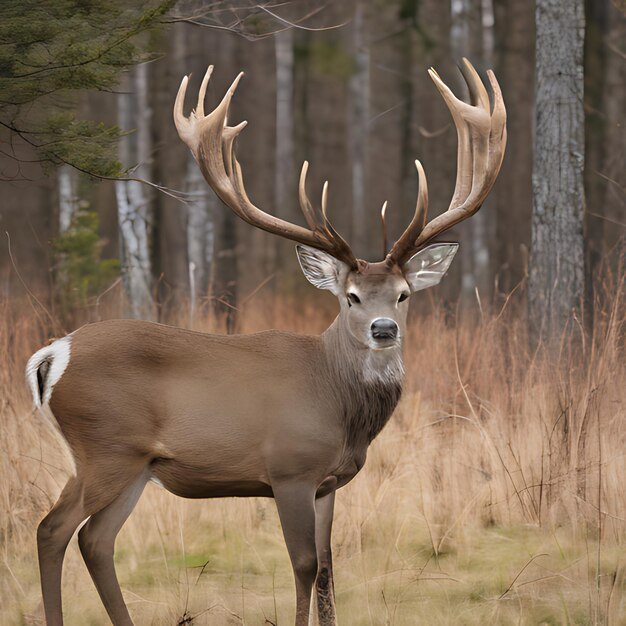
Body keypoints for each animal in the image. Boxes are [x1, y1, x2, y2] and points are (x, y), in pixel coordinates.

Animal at [26, 58, 504, 624]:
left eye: (404, 294)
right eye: (350, 297)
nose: (383, 329)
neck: (339, 402)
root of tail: (54, 354)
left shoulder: (328, 483)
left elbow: (328, 570)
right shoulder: (289, 468)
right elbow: (303, 565)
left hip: (135, 465)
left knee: (96, 540)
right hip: (104, 447)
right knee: (53, 528)